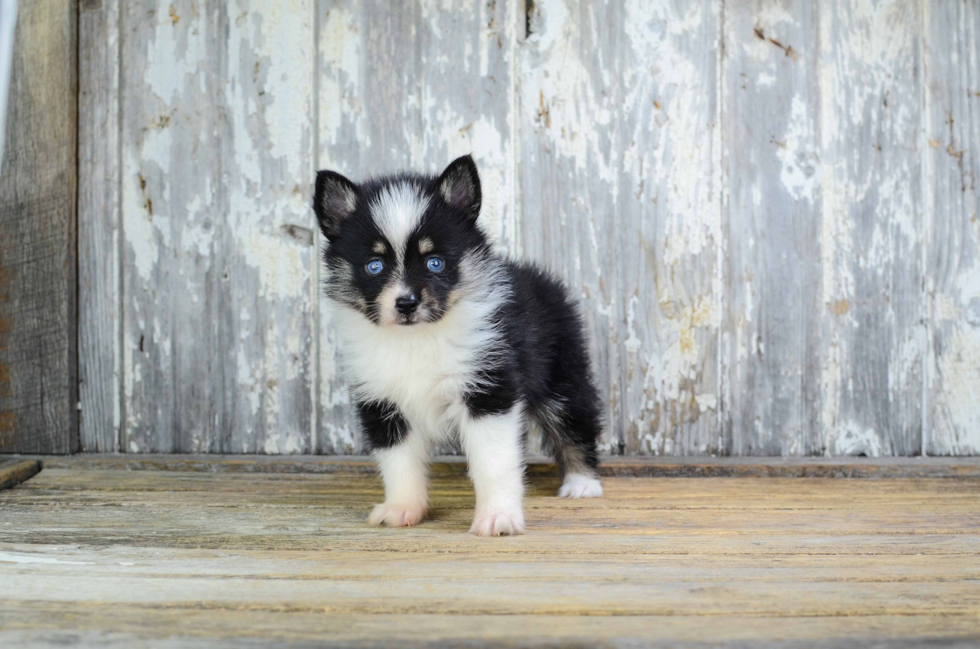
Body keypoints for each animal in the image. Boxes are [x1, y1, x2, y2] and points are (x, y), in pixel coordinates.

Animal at [314, 154, 604, 536]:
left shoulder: (488, 388)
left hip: (562, 370)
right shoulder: (382, 400)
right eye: (373, 266)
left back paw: (581, 482)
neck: (417, 339)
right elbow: (398, 462)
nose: (406, 303)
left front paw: (498, 517)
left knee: (574, 421)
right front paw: (402, 508)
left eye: (434, 262)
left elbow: (493, 461)